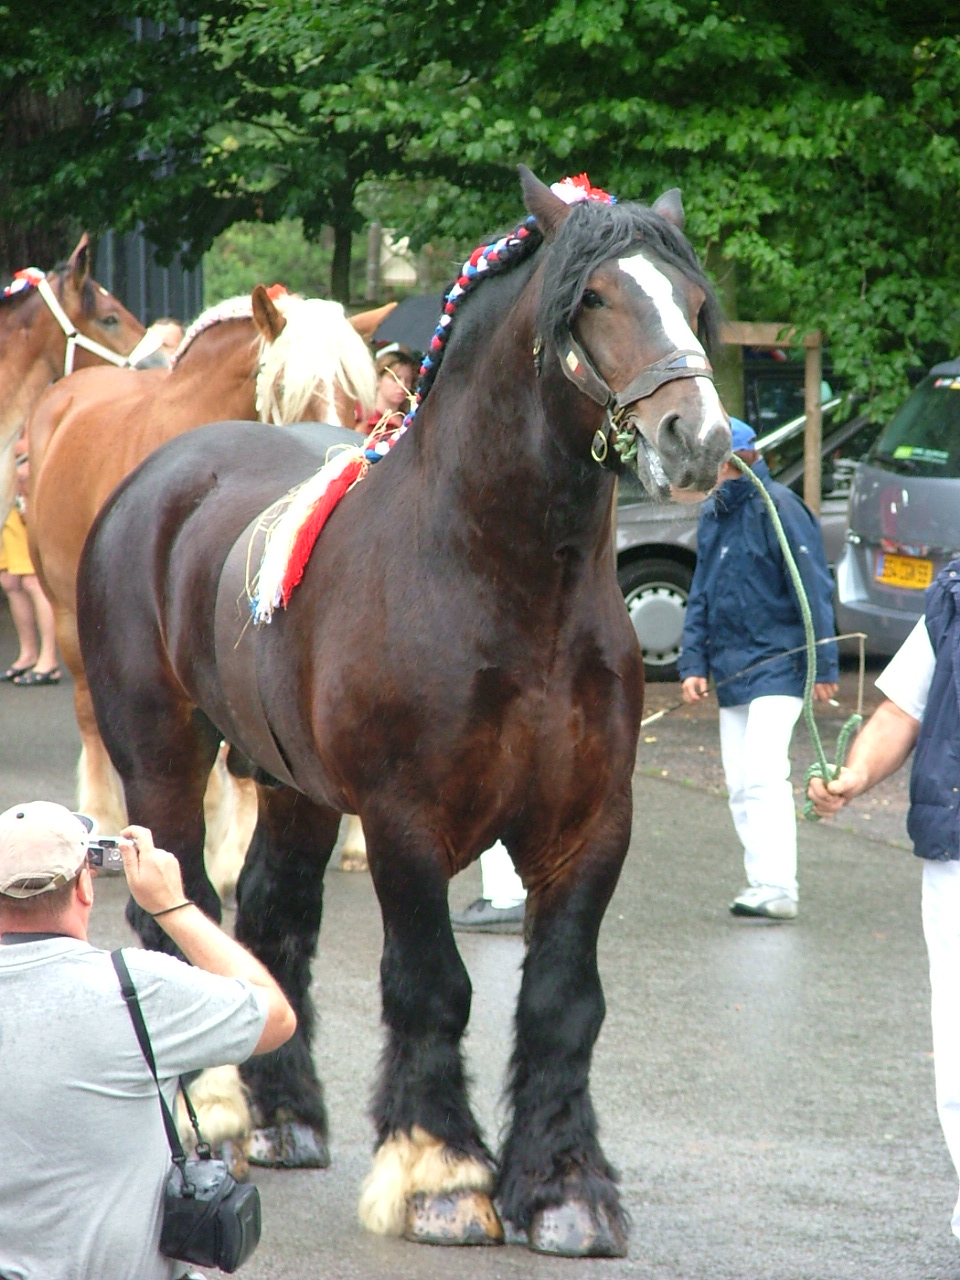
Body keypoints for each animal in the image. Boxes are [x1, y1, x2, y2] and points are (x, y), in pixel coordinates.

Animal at [29, 285, 391, 875]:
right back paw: (103, 814)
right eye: (285, 387)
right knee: (89, 713)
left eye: (359, 394)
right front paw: (230, 850)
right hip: (70, 619)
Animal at [79, 165, 732, 1254]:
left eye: (691, 299)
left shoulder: (590, 825)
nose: (701, 438)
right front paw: (442, 1176)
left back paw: (286, 1115)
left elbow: (563, 1000)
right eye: (595, 297)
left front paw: (564, 1187)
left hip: (291, 784)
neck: (503, 580)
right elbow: (433, 985)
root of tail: (153, 480)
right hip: (164, 763)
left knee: (272, 922)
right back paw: (215, 1109)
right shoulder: (406, 824)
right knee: (183, 914)